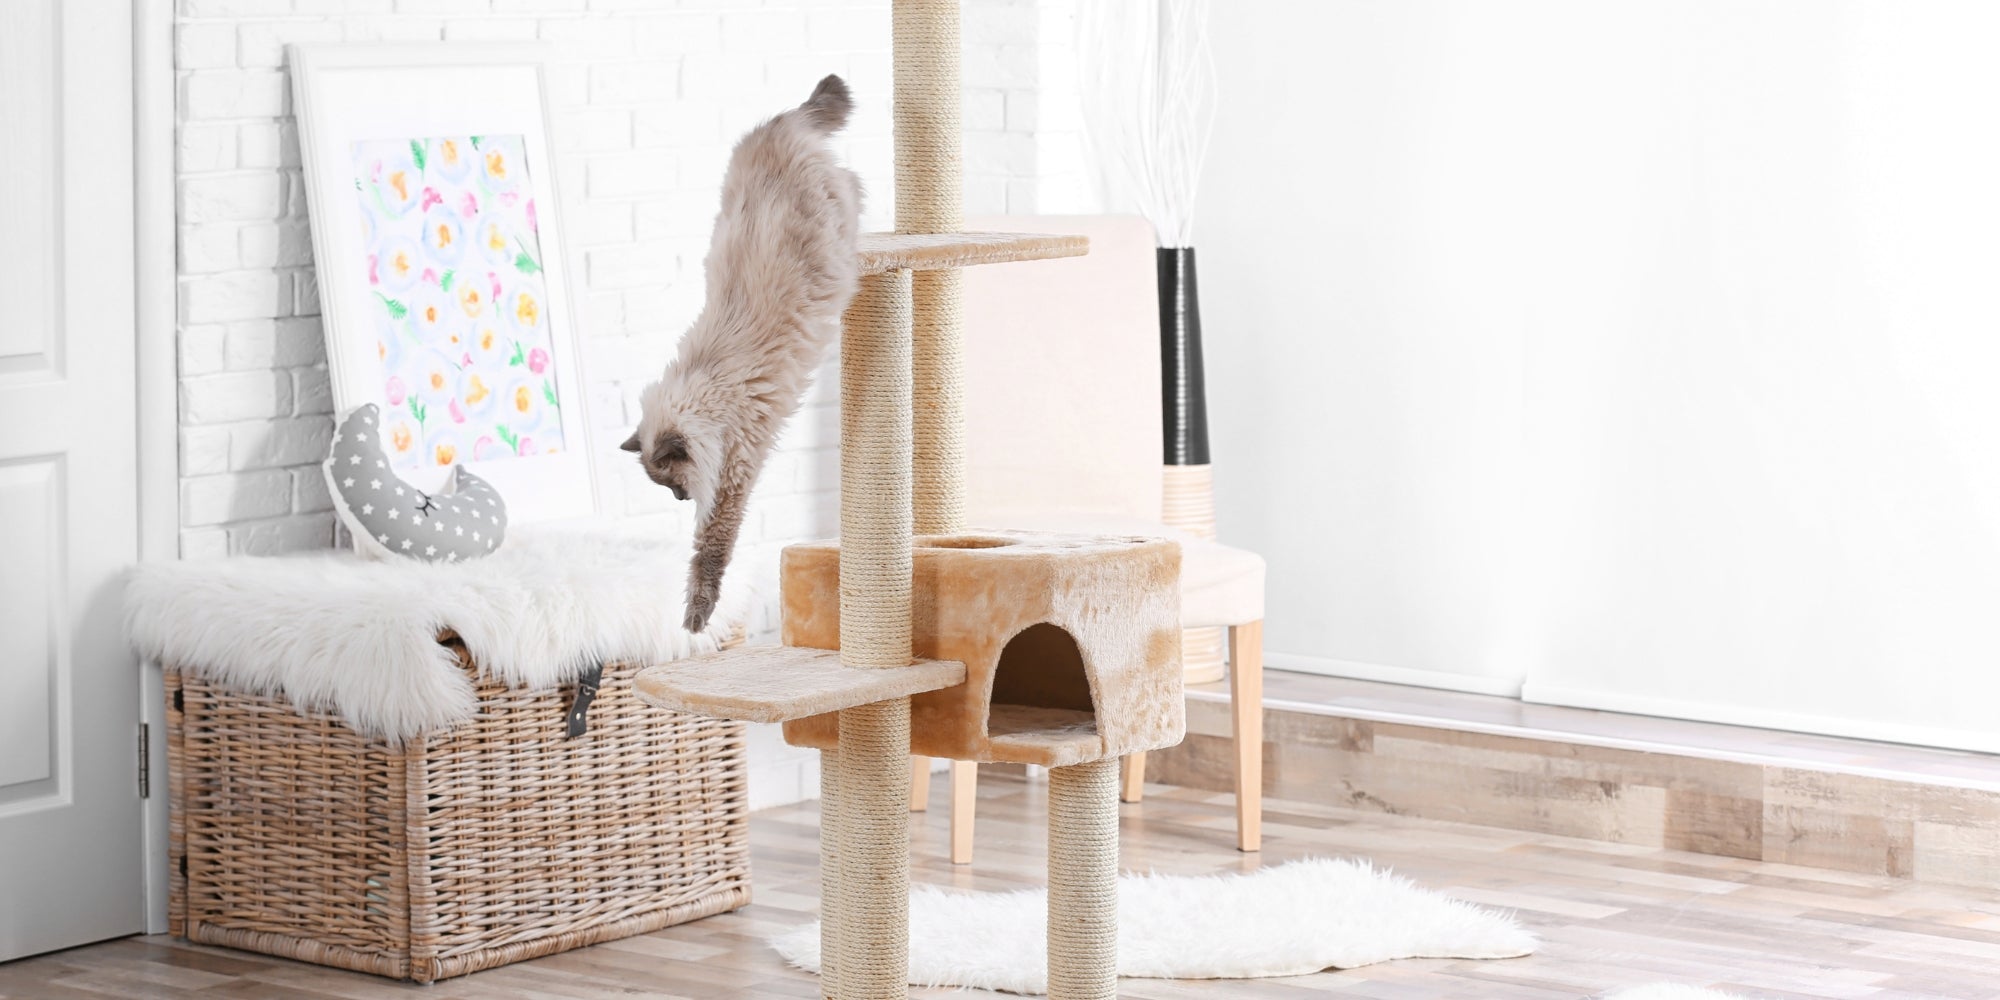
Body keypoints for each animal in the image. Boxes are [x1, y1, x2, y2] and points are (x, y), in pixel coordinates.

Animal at [624, 74, 860, 632]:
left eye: (673, 485)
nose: (679, 498)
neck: (704, 381)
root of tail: (777, 126)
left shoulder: (734, 474)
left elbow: (710, 553)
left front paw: (696, 617)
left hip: (836, 203)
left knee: (855, 185)